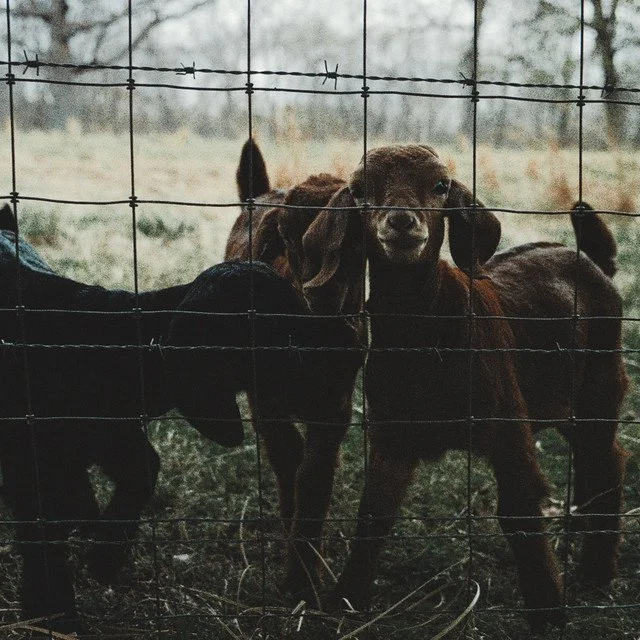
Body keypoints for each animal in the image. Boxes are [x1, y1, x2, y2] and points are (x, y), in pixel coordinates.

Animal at [0, 203, 332, 631]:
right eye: (279, 322)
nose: (344, 351)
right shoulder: (29, 458)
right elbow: (42, 532)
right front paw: (55, 613)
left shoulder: (111, 435)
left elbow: (144, 468)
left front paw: (105, 555)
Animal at [225, 140, 364, 600]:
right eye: (284, 238)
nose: (324, 292)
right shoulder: (266, 401)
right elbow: (290, 463)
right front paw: (297, 576)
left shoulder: (336, 405)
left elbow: (314, 478)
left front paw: (306, 577)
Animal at [299, 146, 628, 631]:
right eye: (359, 190)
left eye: (440, 186)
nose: (401, 222)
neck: (428, 326)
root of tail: (592, 261)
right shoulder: (392, 432)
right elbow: (373, 513)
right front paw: (346, 599)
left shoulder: (507, 424)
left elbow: (519, 512)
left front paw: (549, 609)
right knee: (597, 460)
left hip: (600, 385)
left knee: (607, 459)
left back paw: (596, 571)